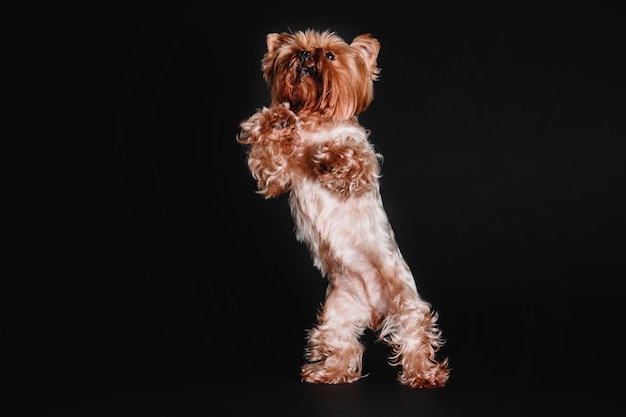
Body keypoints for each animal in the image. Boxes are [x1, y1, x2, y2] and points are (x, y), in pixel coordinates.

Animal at [235, 28, 448, 386]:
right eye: (295, 50)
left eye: (331, 55)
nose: (306, 56)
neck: (314, 119)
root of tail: (374, 313)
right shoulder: (276, 176)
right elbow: (269, 157)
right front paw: (274, 121)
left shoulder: (361, 166)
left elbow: (351, 154)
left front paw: (330, 155)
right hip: (334, 317)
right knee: (345, 348)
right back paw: (326, 372)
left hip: (406, 303)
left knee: (415, 336)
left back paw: (424, 375)